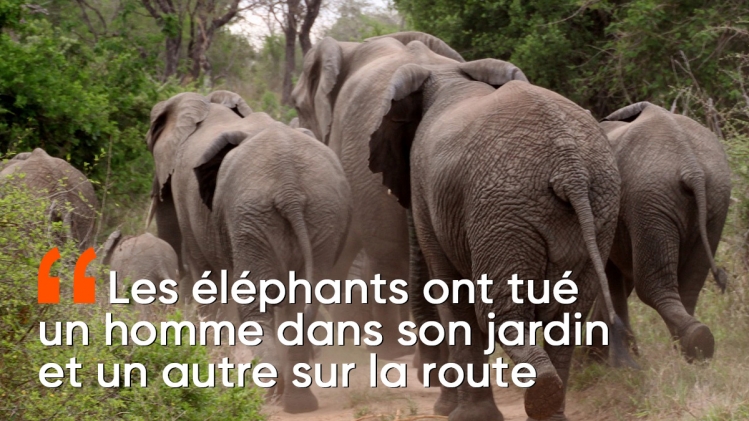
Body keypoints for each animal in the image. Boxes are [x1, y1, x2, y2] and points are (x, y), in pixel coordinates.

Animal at [145, 90, 352, 414]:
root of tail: (290, 190)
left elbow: (208, 284)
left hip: (253, 216)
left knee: (257, 307)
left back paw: (266, 395)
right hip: (321, 214)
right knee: (302, 305)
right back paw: (297, 403)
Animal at [365, 56, 635, 421]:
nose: (438, 404)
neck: (450, 75)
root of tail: (570, 167)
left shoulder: (425, 187)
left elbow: (453, 296)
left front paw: (464, 417)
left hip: (503, 211)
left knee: (500, 310)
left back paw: (539, 397)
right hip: (597, 205)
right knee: (567, 316)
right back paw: (551, 409)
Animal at [588, 101, 731, 363]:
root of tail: (692, 167)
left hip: (650, 199)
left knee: (651, 286)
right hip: (712, 200)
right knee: (690, 284)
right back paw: (693, 349)